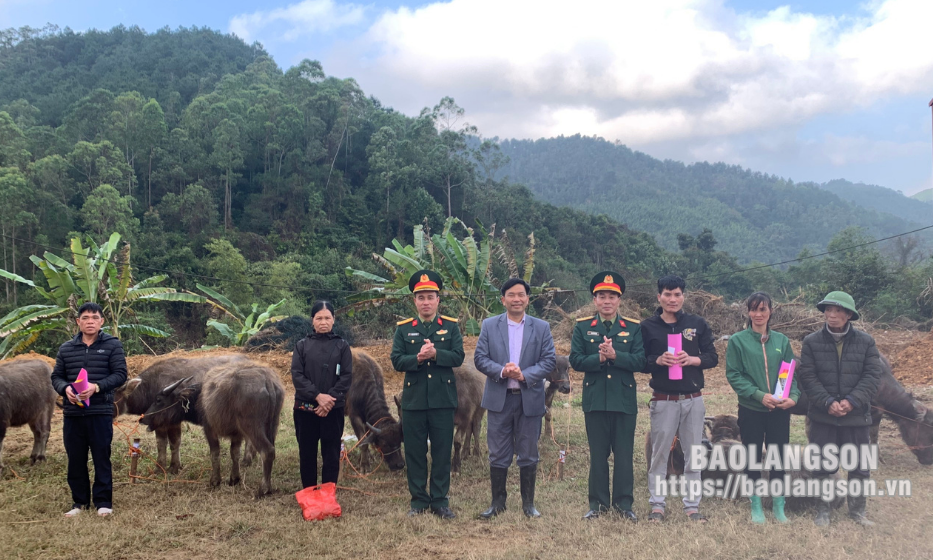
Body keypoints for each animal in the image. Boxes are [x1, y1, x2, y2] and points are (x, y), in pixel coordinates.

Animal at [140, 360, 282, 496]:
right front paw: (234, 479)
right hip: (272, 426)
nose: (142, 418)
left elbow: (215, 453)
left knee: (267, 451)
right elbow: (235, 453)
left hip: (252, 427)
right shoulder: (236, 434)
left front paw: (215, 481)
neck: (200, 397)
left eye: (158, 399)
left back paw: (264, 489)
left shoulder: (209, 429)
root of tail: (267, 381)